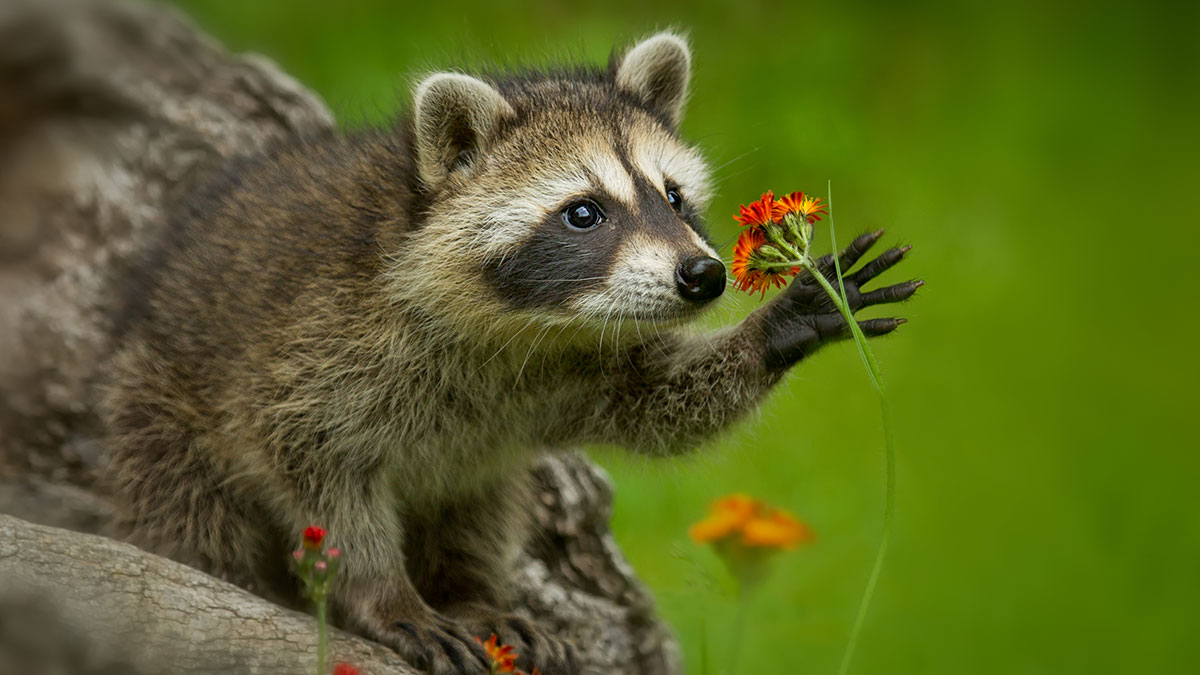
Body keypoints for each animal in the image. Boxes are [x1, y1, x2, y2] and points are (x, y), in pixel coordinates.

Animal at [103, 31, 921, 672]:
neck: (520, 325)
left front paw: (781, 325)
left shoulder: (573, 365)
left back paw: (469, 589)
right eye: (583, 213)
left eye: (673, 196)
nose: (704, 275)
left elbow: (658, 403)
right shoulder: (313, 350)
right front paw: (382, 593)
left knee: (481, 500)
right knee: (193, 523)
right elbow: (320, 477)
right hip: (157, 419)